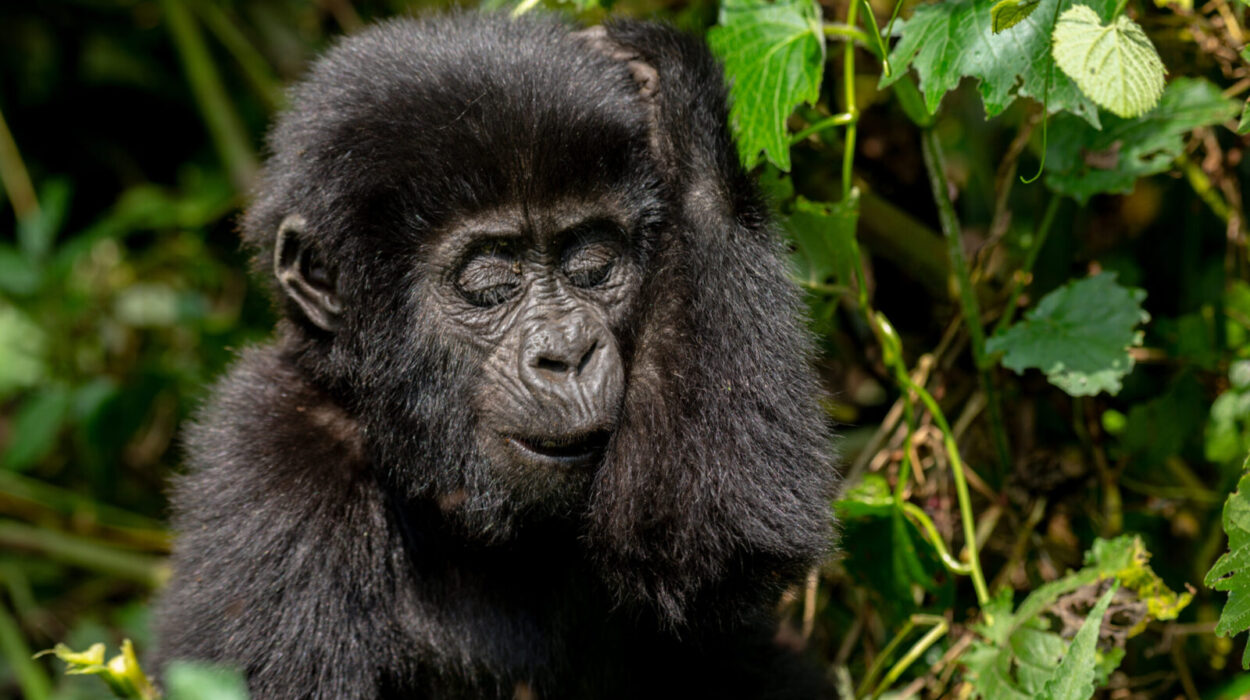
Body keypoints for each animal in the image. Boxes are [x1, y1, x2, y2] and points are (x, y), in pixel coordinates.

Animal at [152, 12, 838, 699]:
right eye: (489, 282)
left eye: (592, 264)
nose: (567, 353)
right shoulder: (271, 454)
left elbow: (703, 538)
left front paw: (670, 93)